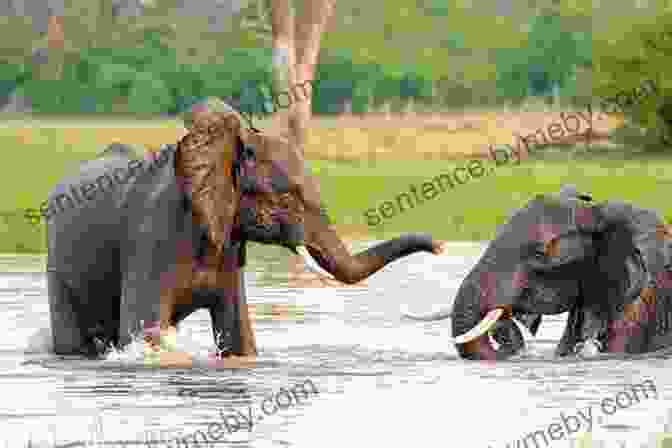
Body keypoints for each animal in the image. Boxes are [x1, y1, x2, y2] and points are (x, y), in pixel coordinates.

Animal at [46, 118, 446, 356]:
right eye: (287, 198)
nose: (440, 248)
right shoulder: (152, 236)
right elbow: (146, 332)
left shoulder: (228, 240)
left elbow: (239, 334)